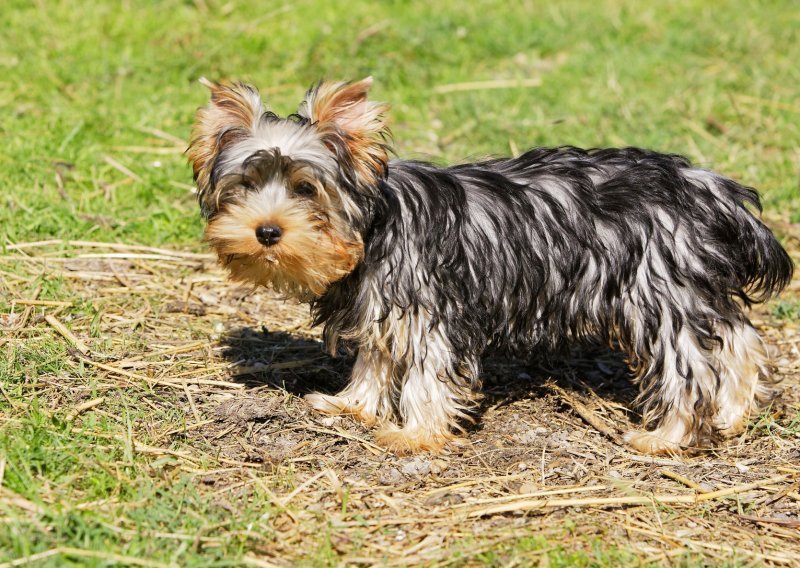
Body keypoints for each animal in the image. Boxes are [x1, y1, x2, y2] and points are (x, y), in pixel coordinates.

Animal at [188, 77, 792, 454]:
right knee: (736, 338)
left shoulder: (430, 308)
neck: (376, 226)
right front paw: (351, 406)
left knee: (689, 363)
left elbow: (426, 372)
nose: (267, 230)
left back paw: (667, 437)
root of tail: (704, 186)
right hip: (689, 286)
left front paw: (415, 433)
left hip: (658, 289)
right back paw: (734, 414)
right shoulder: (384, 305)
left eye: (305, 188)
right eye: (245, 186)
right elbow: (376, 359)